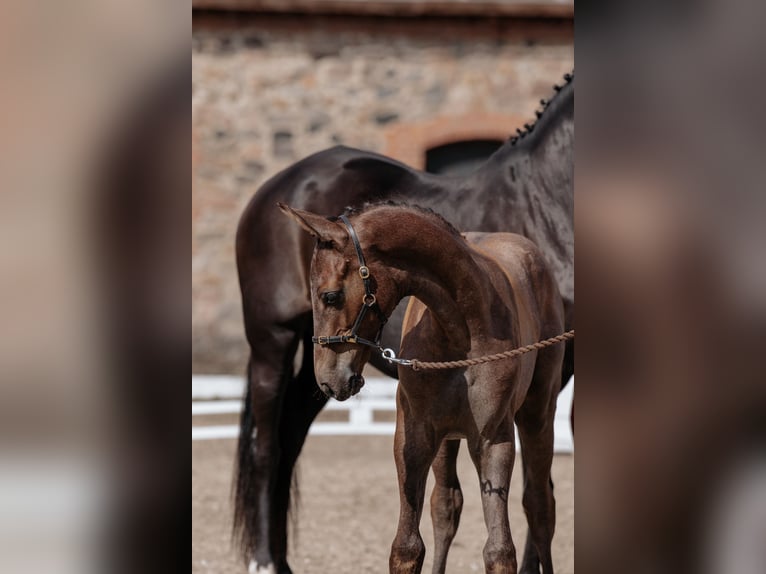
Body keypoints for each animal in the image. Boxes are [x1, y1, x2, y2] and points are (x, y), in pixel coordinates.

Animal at [237, 74, 572, 572]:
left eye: (331, 295)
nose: (332, 380)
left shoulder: (495, 436)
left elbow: (500, 546)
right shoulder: (413, 435)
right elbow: (408, 544)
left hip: (535, 409)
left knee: (536, 503)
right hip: (273, 342)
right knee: (270, 447)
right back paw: (265, 560)